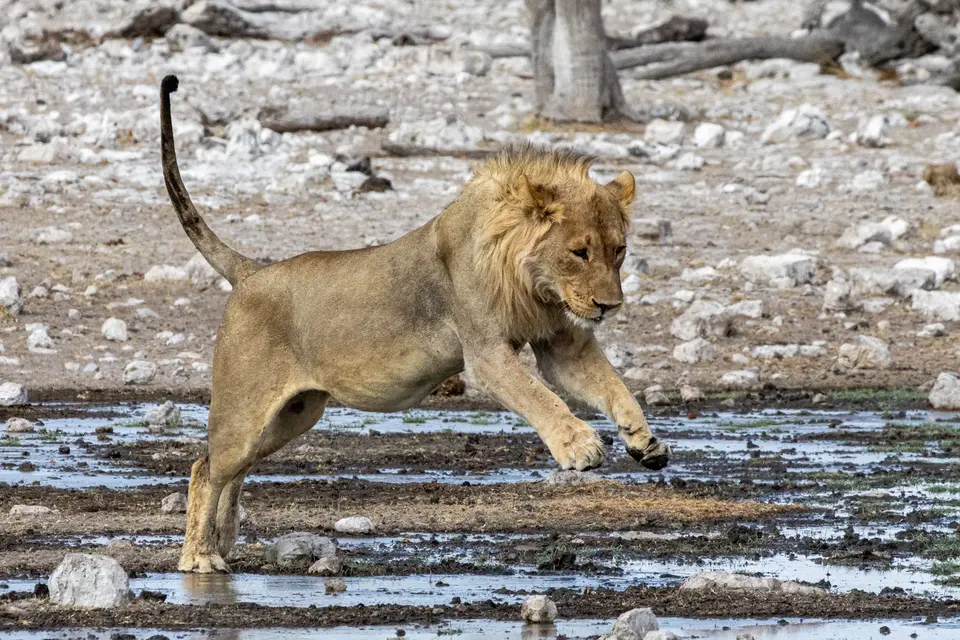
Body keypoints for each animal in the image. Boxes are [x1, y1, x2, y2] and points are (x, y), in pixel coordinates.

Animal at [159, 75, 671, 574]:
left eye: (619, 250)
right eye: (579, 252)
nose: (610, 306)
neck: (535, 284)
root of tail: (251, 273)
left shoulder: (563, 344)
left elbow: (612, 385)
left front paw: (645, 440)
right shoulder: (486, 354)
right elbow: (540, 397)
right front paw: (579, 446)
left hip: (295, 414)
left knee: (232, 469)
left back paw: (223, 540)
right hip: (245, 409)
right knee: (206, 468)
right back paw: (199, 556)